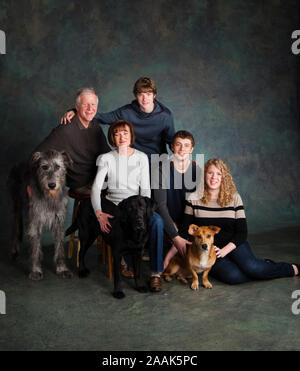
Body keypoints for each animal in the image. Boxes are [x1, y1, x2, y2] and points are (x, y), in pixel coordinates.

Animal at [7, 150, 73, 280]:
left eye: (58, 167)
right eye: (44, 167)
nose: (51, 185)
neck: (49, 196)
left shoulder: (59, 221)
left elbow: (60, 246)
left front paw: (62, 269)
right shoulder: (35, 220)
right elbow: (35, 247)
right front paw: (35, 270)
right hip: (16, 205)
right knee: (15, 227)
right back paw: (14, 251)